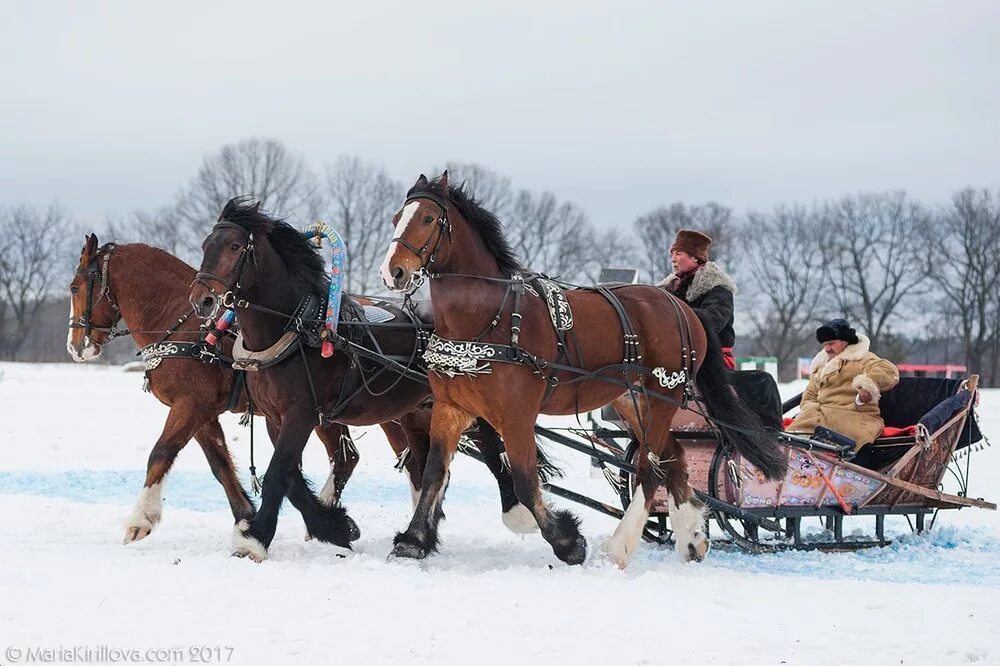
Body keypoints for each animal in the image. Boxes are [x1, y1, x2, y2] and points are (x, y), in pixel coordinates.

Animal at [70, 236, 368, 544]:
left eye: (74, 287)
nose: (76, 345)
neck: (184, 325)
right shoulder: (203, 414)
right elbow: (220, 464)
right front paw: (245, 517)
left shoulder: (191, 404)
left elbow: (162, 452)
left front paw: (141, 518)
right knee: (346, 457)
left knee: (345, 457)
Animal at [187, 198, 548, 560]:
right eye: (205, 246)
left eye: (234, 247)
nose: (201, 299)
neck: (298, 326)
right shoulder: (276, 419)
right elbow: (291, 478)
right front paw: (335, 526)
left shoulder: (301, 414)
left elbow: (278, 473)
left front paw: (256, 539)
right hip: (416, 413)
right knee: (428, 469)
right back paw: (423, 533)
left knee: (489, 447)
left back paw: (515, 513)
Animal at [378, 170, 784, 564]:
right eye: (396, 218)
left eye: (428, 218)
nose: (392, 272)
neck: (489, 320)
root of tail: (682, 308)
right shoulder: (452, 408)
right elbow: (434, 472)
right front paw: (413, 540)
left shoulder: (516, 415)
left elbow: (525, 480)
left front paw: (568, 542)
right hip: (633, 401)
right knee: (674, 458)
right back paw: (692, 540)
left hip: (662, 395)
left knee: (648, 468)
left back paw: (618, 548)